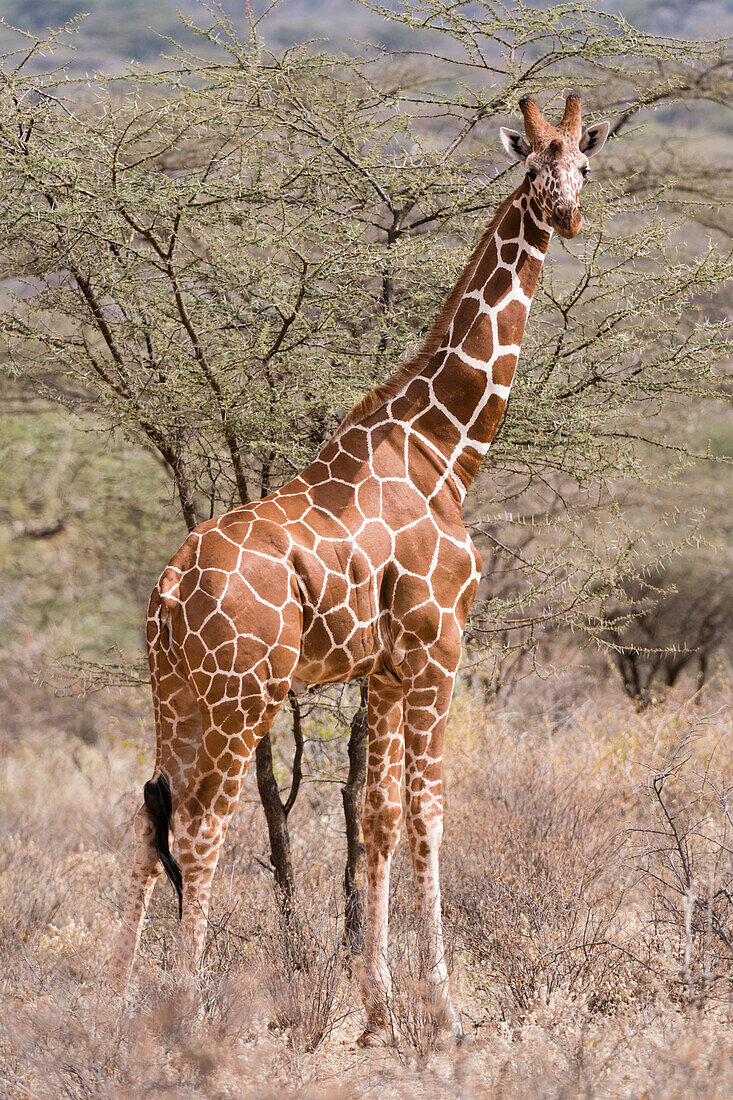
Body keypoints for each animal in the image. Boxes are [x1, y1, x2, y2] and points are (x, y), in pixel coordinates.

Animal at [108, 94, 607, 1038]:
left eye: (584, 166)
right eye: (532, 167)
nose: (564, 215)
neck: (443, 447)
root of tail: (168, 590)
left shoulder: (380, 667)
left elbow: (373, 820)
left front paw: (379, 1017)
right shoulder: (439, 648)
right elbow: (428, 816)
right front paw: (441, 1013)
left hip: (177, 695)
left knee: (148, 822)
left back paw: (106, 1003)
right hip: (244, 692)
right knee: (200, 829)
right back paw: (185, 1011)